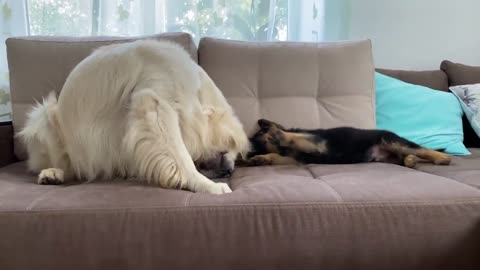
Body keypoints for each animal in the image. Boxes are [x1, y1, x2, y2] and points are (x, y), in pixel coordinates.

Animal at [17, 40, 251, 194]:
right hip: (44, 115)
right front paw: (208, 186)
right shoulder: (155, 103)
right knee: (62, 164)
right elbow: (182, 157)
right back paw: (51, 173)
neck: (195, 92)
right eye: (228, 150)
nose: (229, 172)